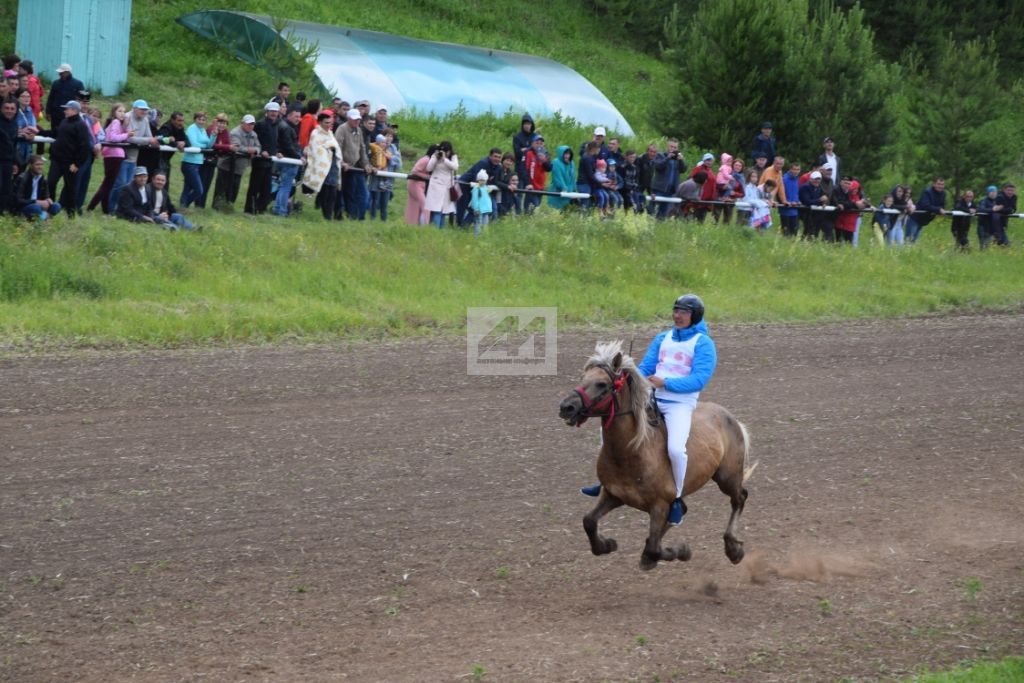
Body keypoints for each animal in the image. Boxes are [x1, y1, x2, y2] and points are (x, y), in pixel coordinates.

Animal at [561, 342, 753, 573]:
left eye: (601, 384)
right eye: (583, 378)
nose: (566, 407)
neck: (630, 453)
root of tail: (730, 417)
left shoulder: (659, 505)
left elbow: (654, 548)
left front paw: (679, 551)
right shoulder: (613, 494)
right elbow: (588, 521)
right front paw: (607, 545)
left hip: (726, 477)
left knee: (739, 497)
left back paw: (733, 549)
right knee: (683, 510)